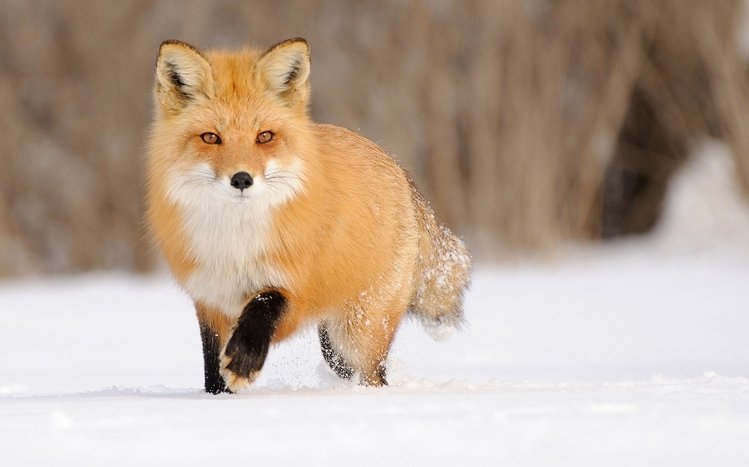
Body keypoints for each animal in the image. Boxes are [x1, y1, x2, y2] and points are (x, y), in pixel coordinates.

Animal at [146, 37, 471, 393]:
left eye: (264, 136)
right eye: (210, 138)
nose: (242, 179)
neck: (236, 245)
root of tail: (396, 166)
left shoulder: (294, 289)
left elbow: (262, 306)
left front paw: (244, 361)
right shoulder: (210, 300)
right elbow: (212, 372)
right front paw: (218, 397)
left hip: (358, 334)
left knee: (374, 376)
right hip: (335, 347)